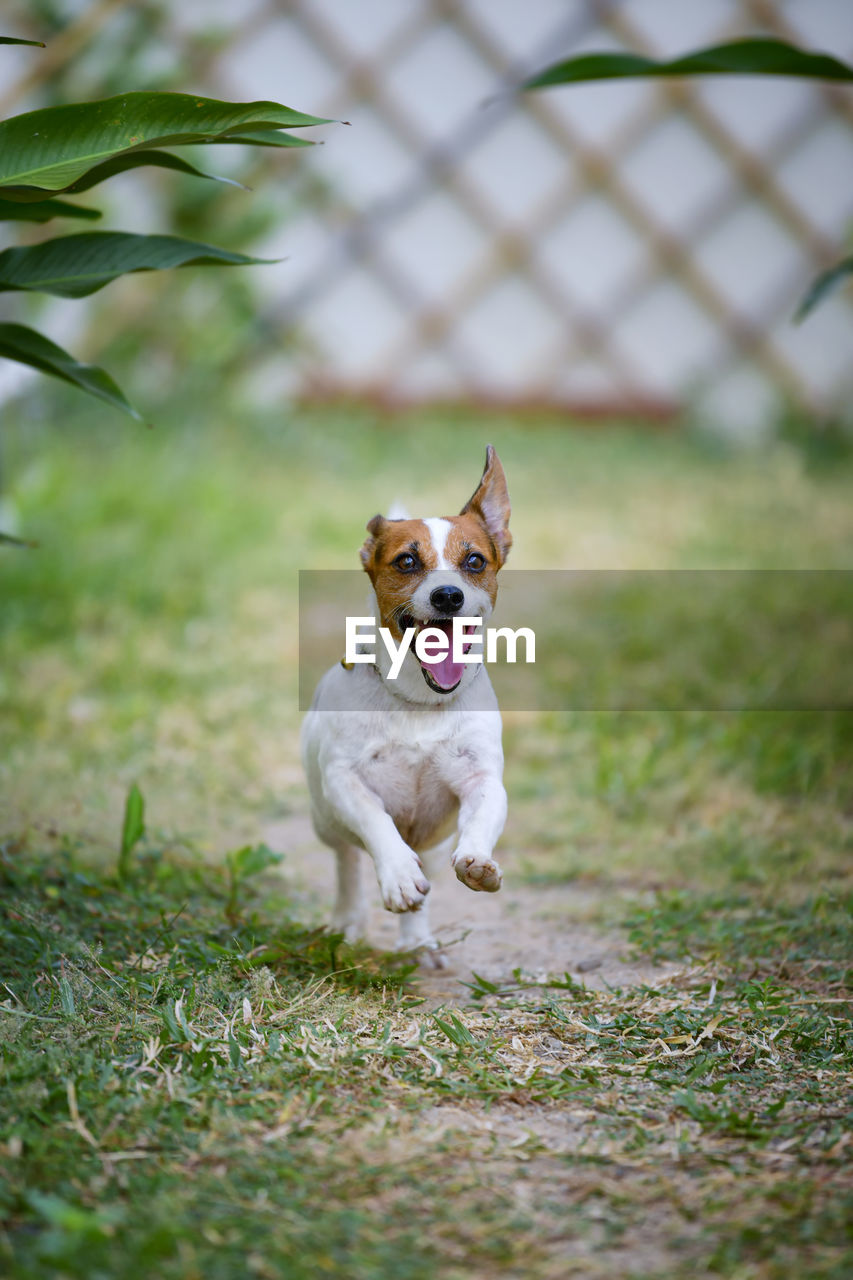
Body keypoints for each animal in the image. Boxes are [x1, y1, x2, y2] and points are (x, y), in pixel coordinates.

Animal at [300, 445, 512, 957]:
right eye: (407, 562)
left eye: (474, 561)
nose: (448, 595)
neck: (419, 701)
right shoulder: (344, 779)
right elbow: (376, 821)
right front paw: (396, 875)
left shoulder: (481, 778)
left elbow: (483, 815)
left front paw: (478, 862)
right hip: (324, 819)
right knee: (348, 864)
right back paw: (348, 920)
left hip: (431, 846)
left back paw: (417, 944)